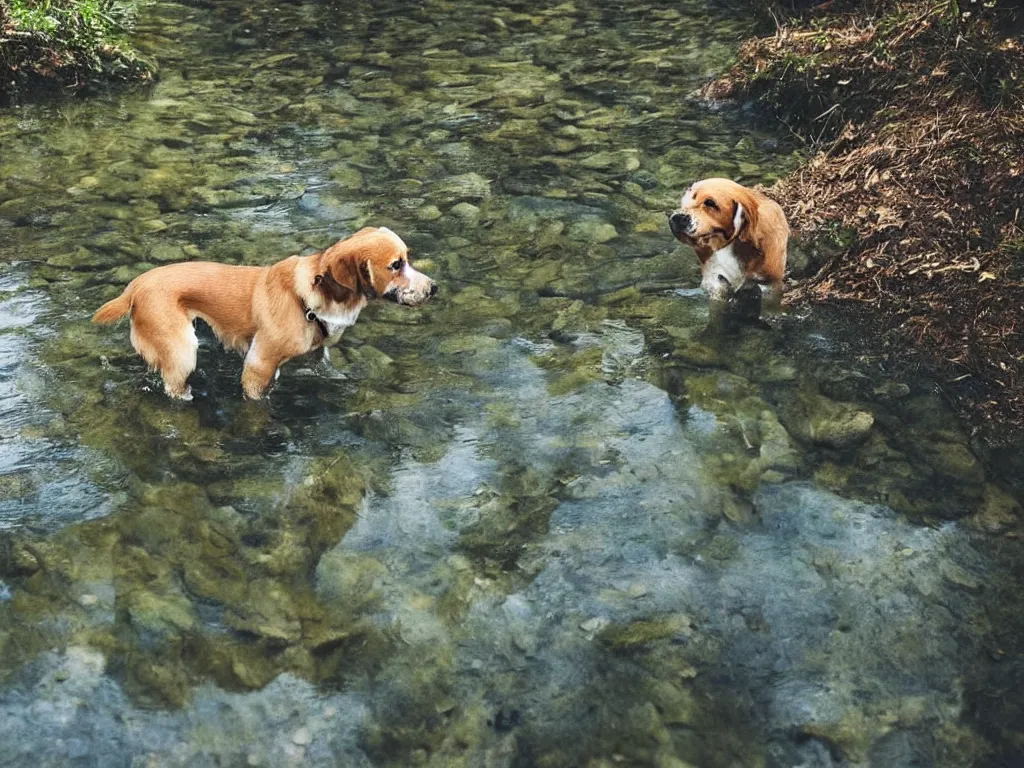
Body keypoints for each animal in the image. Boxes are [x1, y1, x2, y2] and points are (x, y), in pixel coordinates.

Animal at [91, 225, 436, 399]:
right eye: (396, 265)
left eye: (408, 259)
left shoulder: (317, 354)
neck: (311, 299)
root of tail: (134, 287)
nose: (434, 288)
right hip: (182, 350)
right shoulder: (258, 367)